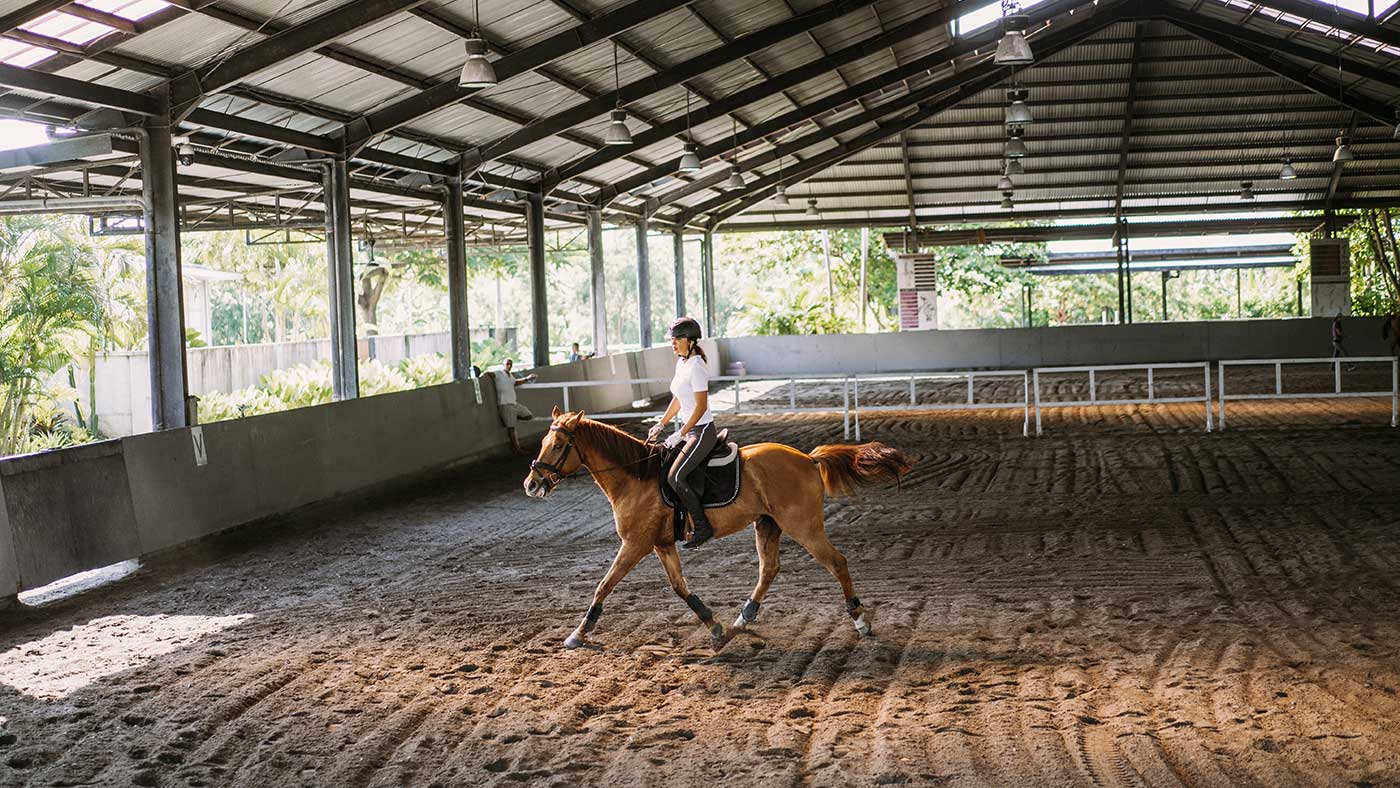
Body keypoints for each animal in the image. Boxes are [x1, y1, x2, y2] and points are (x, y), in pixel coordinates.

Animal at [520, 405, 912, 655]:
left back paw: (860, 621)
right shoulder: (662, 544)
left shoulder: (635, 544)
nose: (531, 484)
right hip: (767, 524)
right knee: (769, 569)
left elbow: (603, 585)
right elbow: (681, 589)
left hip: (803, 526)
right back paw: (741, 620)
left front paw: (577, 633)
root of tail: (807, 458)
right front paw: (715, 627)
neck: (636, 477)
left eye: (558, 445)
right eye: (542, 443)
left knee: (837, 562)